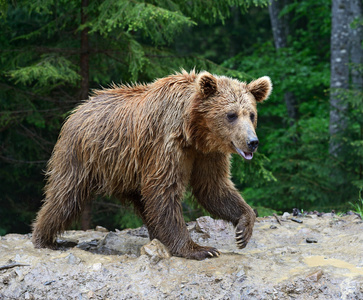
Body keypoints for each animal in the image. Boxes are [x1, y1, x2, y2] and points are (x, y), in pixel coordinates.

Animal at [32, 69, 272, 260]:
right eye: (231, 115)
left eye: (251, 114)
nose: (252, 142)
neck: (193, 131)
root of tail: (78, 109)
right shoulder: (165, 145)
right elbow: (164, 190)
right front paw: (200, 249)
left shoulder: (208, 154)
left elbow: (213, 188)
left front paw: (243, 230)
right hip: (83, 155)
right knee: (65, 196)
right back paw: (45, 239)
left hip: (127, 171)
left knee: (143, 203)